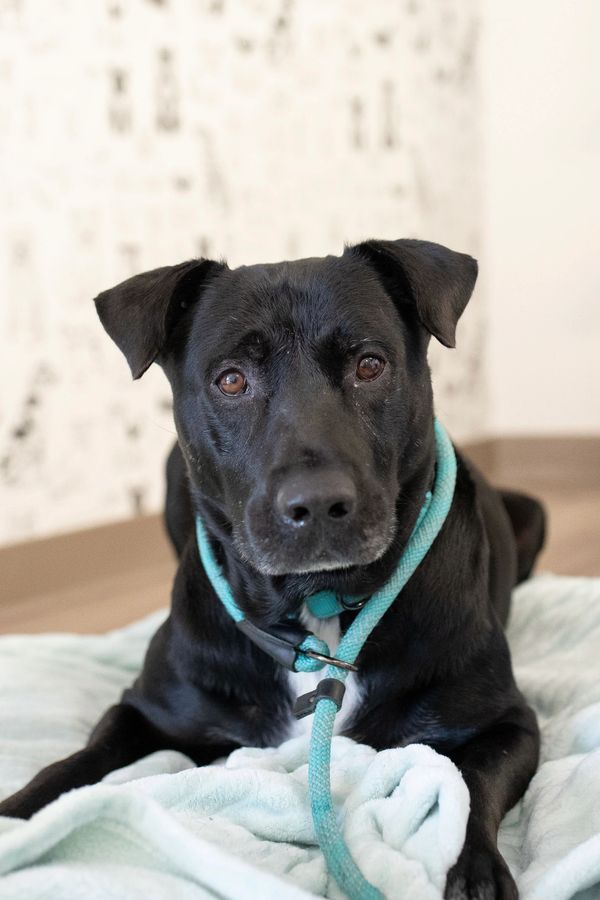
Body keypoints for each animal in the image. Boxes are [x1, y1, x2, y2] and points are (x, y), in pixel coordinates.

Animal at [0, 239, 544, 900]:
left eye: (370, 365)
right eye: (231, 380)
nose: (318, 504)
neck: (318, 607)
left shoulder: (506, 721)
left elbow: (467, 780)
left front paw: (476, 870)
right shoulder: (144, 709)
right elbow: (70, 767)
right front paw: (17, 814)